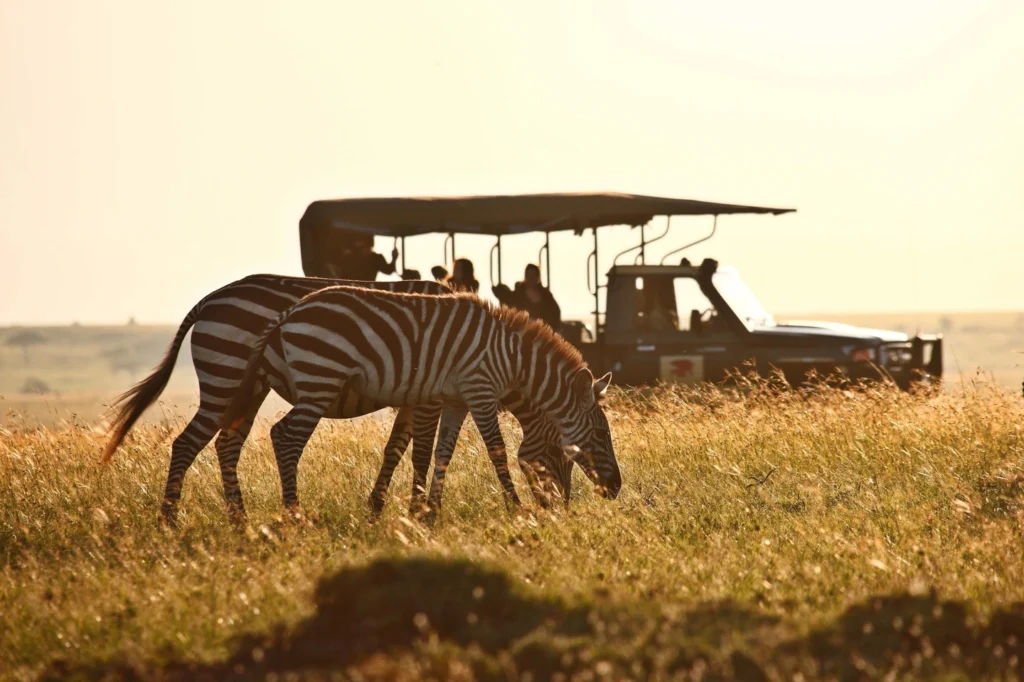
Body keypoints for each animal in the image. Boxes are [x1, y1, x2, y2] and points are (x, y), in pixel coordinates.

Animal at [99, 274, 573, 522]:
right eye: (563, 454)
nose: (563, 509)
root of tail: (209, 299)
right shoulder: (429, 395)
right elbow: (420, 451)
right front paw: (415, 509)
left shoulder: (414, 394)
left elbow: (395, 448)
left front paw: (379, 507)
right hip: (227, 377)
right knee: (189, 443)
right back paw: (171, 520)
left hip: (248, 389)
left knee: (226, 444)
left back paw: (240, 521)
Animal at [220, 284, 618, 512]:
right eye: (601, 434)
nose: (616, 490)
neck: (512, 358)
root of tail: (289, 312)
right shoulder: (480, 390)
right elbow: (496, 451)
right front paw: (516, 509)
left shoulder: (457, 400)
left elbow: (444, 453)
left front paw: (431, 513)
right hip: (320, 379)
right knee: (285, 437)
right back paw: (294, 515)